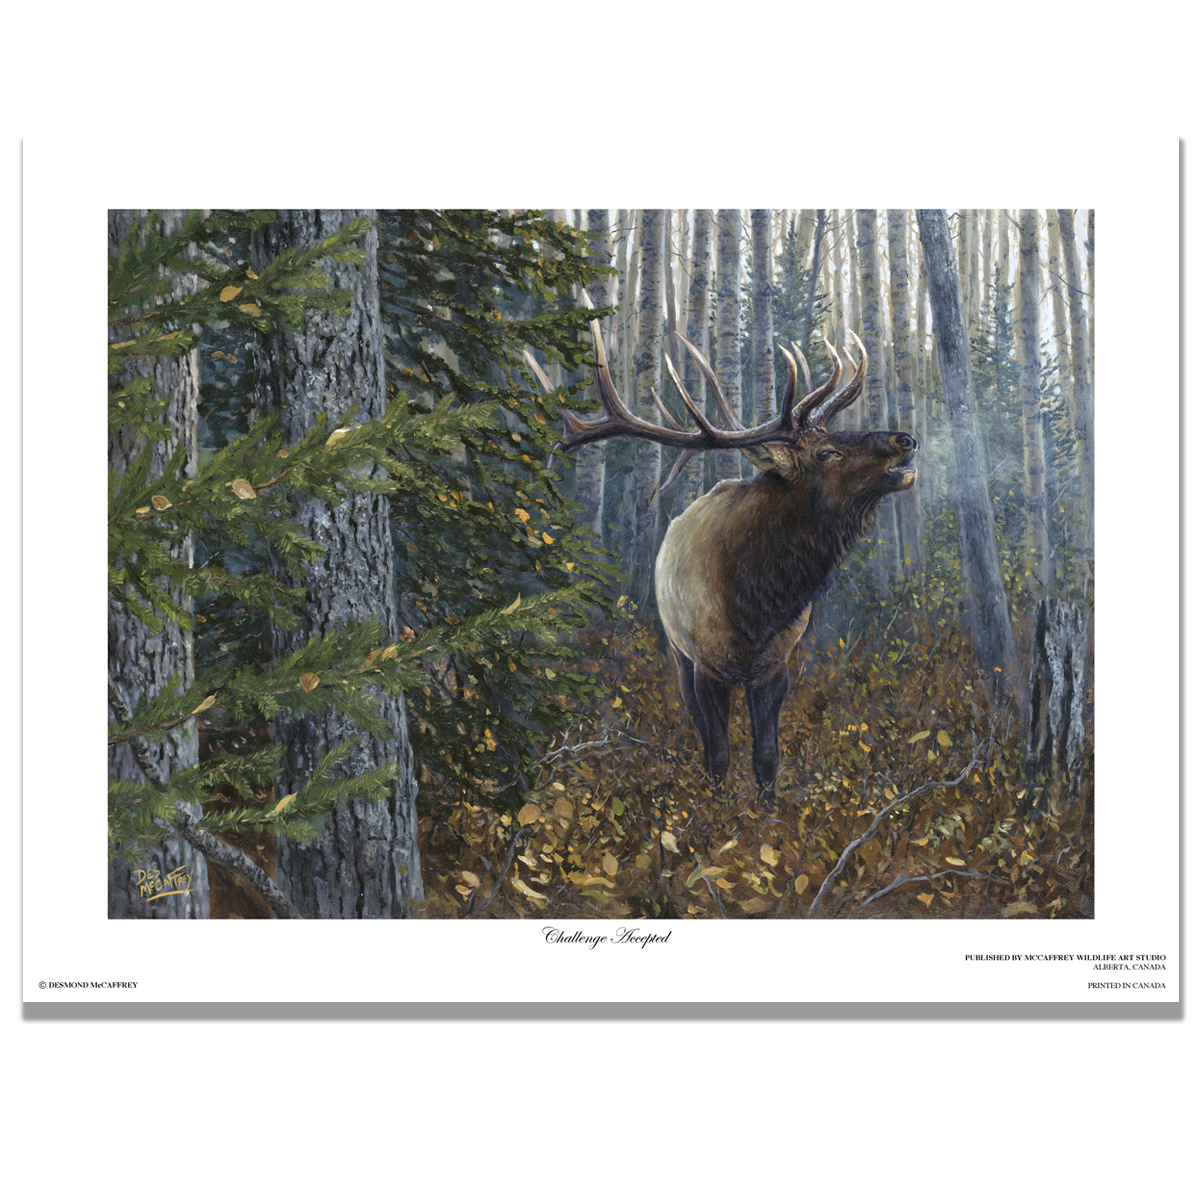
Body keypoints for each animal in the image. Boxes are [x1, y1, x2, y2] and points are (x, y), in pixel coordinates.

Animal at [527, 293, 918, 793]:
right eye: (827, 451)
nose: (904, 438)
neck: (755, 604)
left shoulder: (776, 666)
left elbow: (767, 756)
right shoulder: (704, 665)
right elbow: (718, 754)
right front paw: (716, 804)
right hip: (677, 652)